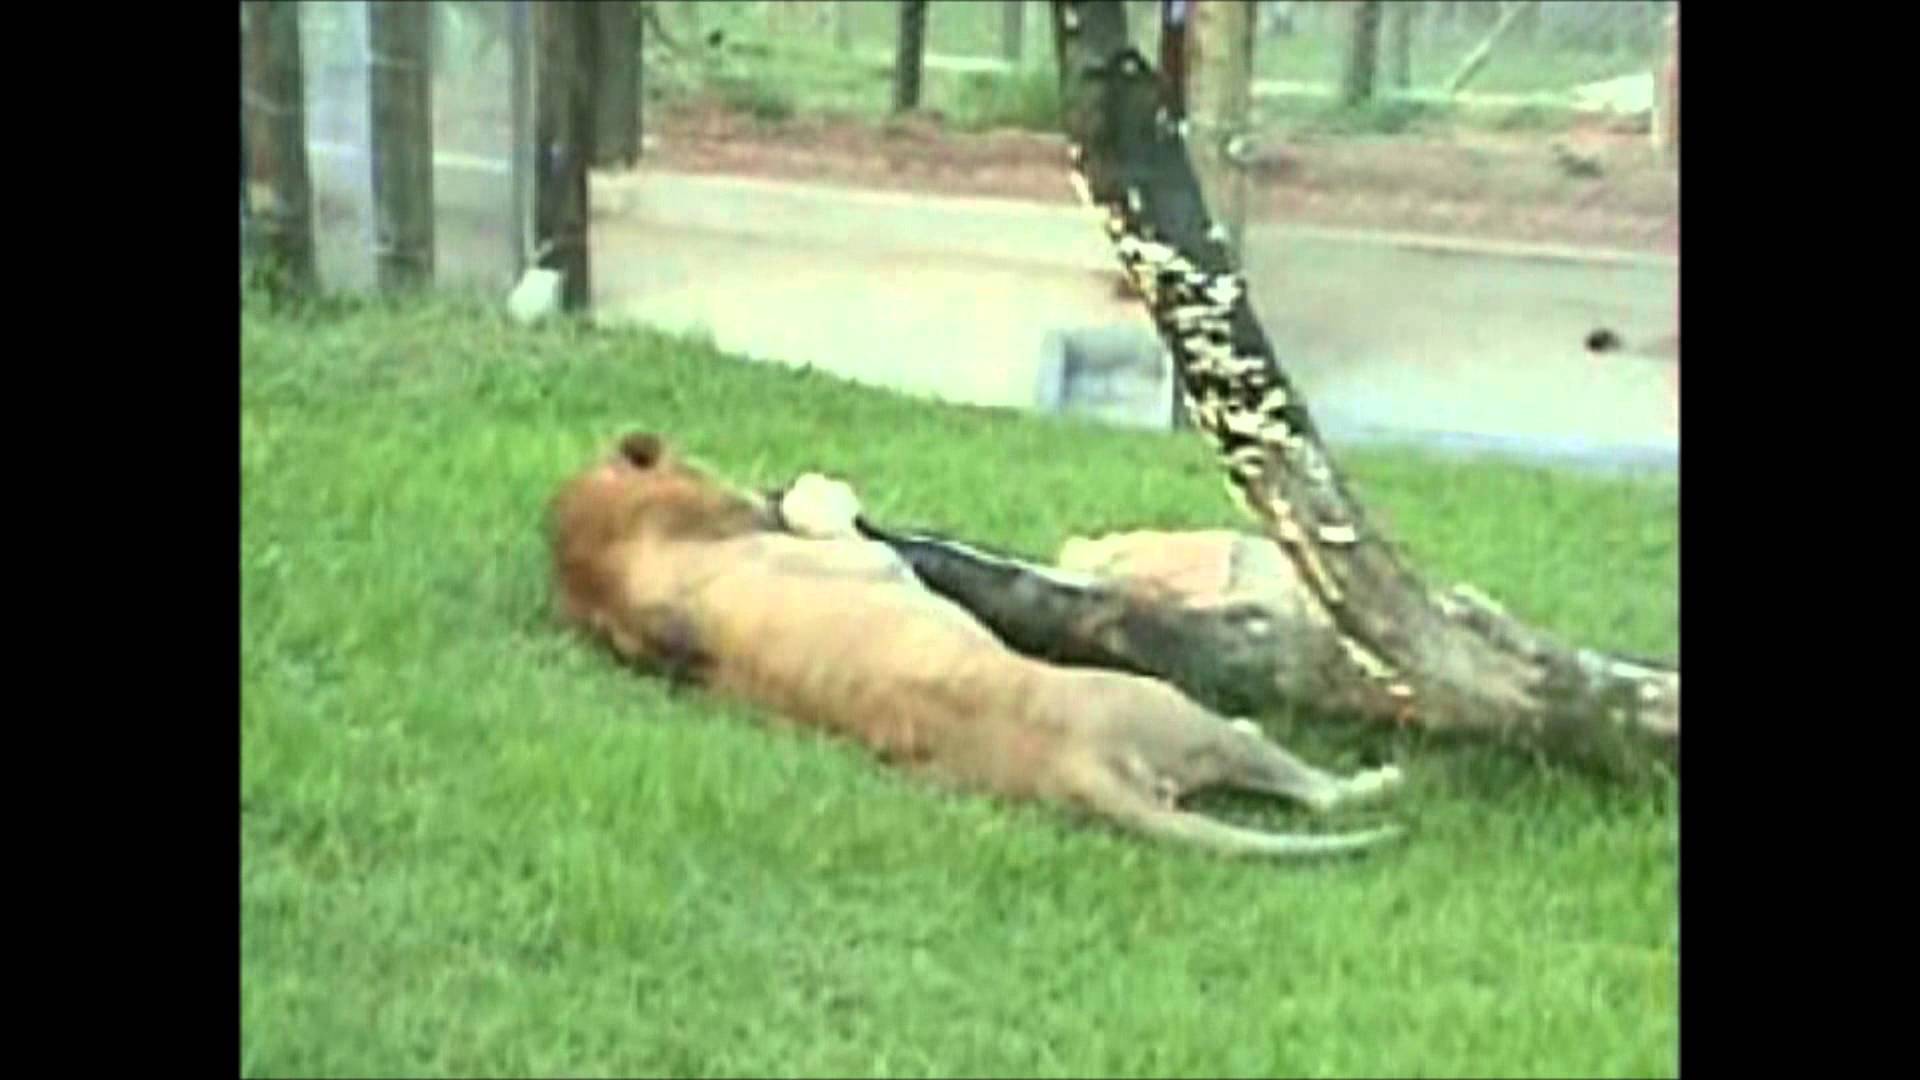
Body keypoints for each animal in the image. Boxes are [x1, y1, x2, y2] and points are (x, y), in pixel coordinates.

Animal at [546, 432, 1407, 859]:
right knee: (1318, 790)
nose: (767, 486)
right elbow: (841, 523)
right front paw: (817, 493)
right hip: (1172, 709)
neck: (632, 559)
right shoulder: (868, 560)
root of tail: (1076, 768)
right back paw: (1374, 779)